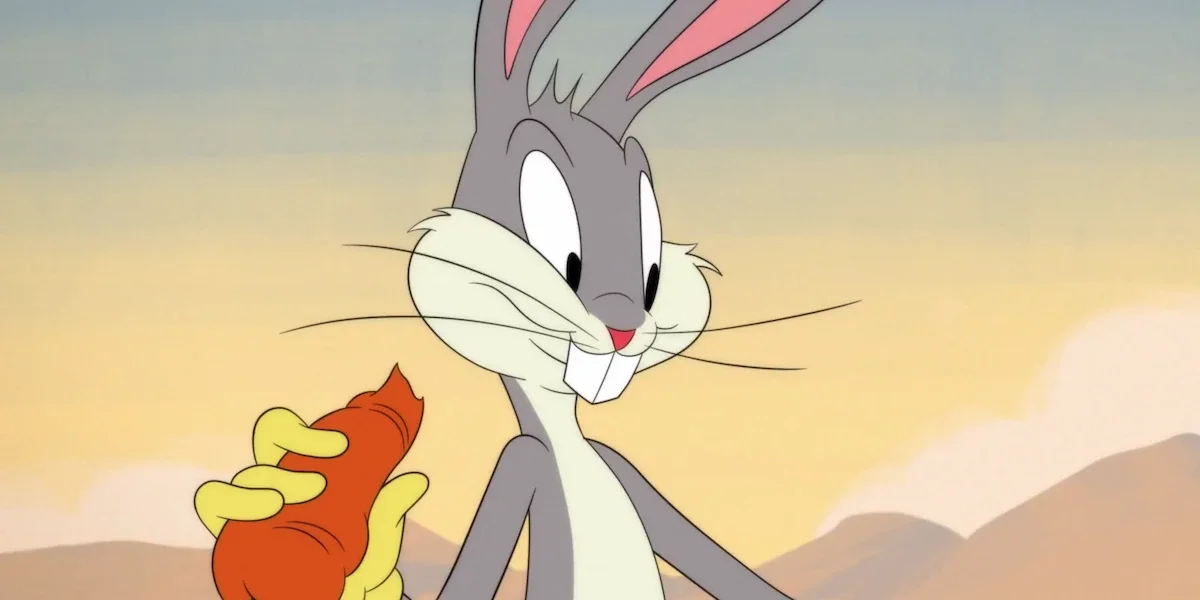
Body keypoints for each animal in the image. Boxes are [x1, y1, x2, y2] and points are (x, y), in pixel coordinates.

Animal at [195, 1, 830, 599]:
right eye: (562, 252)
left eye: (651, 270)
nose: (623, 326)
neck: (569, 443)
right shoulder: (520, 460)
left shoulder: (621, 466)